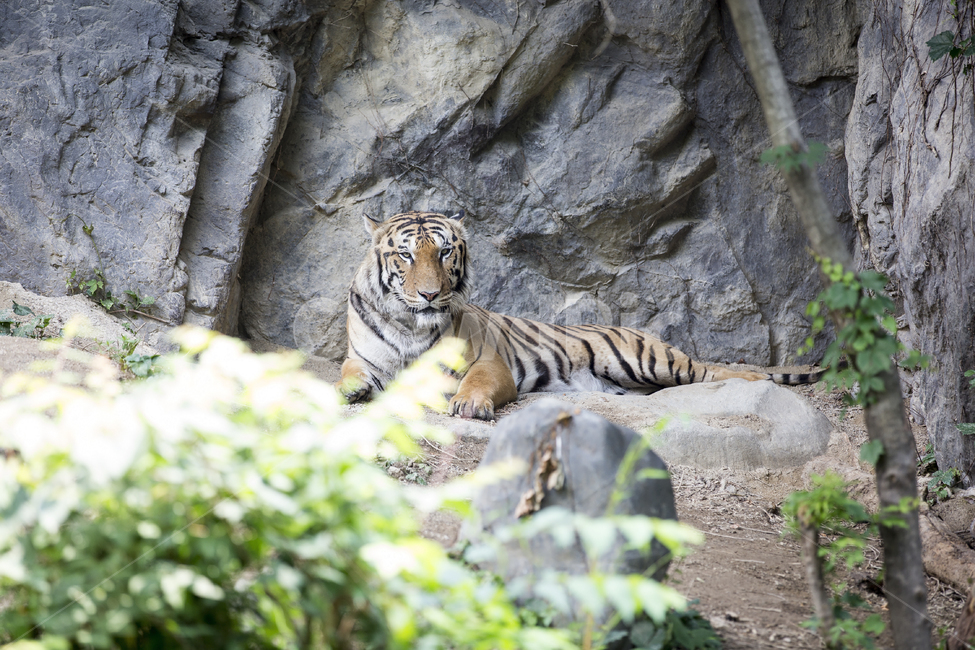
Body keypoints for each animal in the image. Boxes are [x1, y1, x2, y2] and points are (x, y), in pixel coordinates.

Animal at [337, 210, 824, 420]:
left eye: (443, 252)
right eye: (405, 255)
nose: (430, 294)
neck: (409, 325)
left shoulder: (488, 361)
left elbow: (475, 383)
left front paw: (469, 404)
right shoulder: (364, 357)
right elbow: (348, 373)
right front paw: (350, 392)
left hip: (646, 360)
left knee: (713, 371)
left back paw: (753, 380)